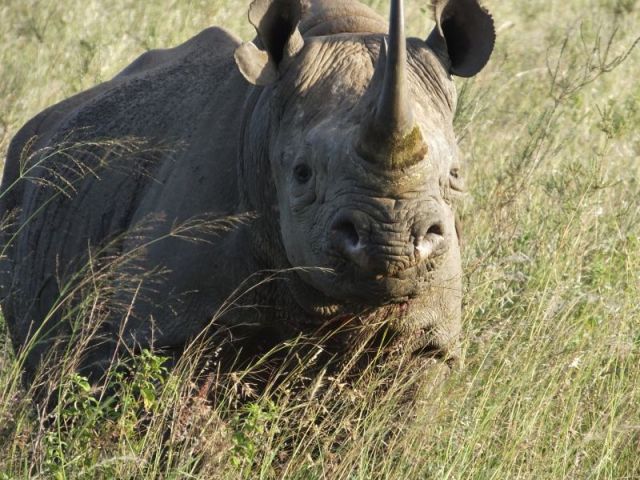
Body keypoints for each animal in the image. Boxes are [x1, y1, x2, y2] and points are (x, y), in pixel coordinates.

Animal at [0, 0, 494, 385]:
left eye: (456, 174)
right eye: (301, 174)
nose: (391, 242)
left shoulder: (428, 343)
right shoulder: (159, 334)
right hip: (23, 180)